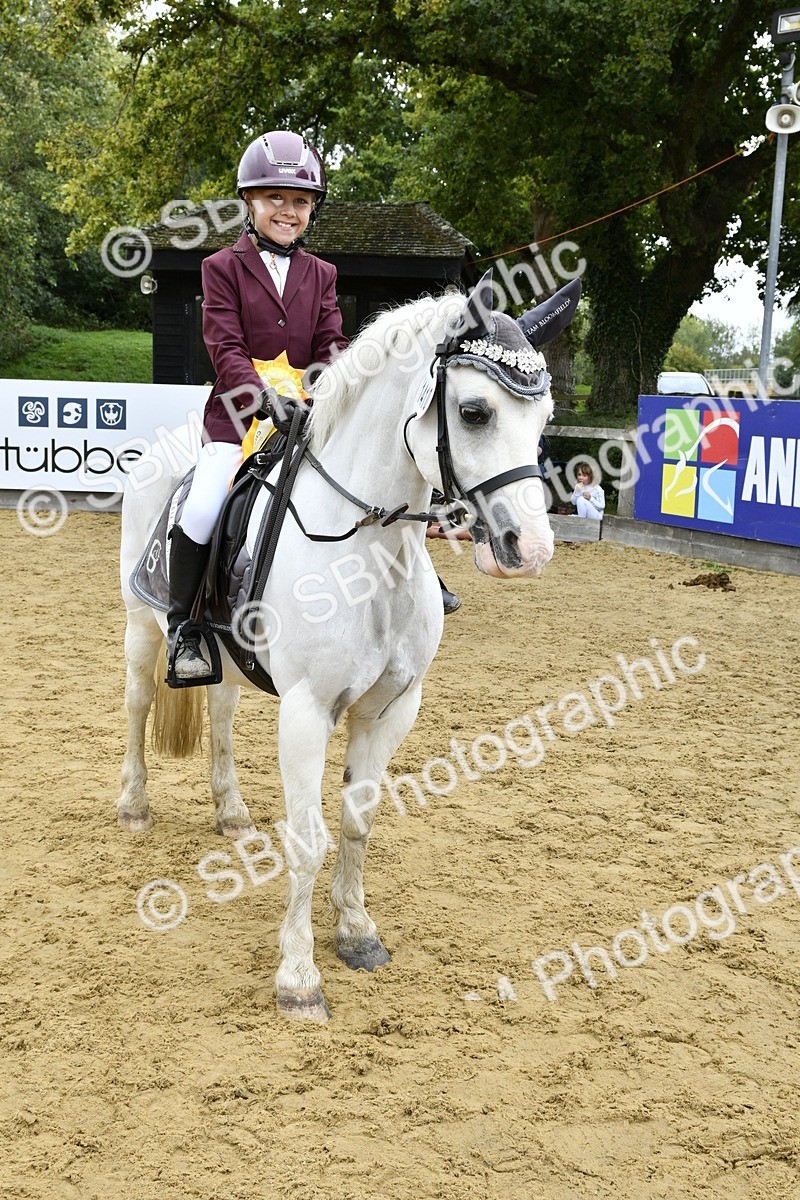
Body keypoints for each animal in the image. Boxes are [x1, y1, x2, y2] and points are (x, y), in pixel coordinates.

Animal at [118, 270, 579, 1023]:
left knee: (219, 713)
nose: (531, 550)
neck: (371, 553)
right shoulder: (306, 711)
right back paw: (132, 804)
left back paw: (231, 812)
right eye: (475, 412)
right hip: (139, 625)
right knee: (135, 704)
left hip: (225, 658)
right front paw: (298, 977)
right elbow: (309, 840)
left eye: (544, 421)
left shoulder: (391, 710)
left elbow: (358, 823)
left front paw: (358, 932)